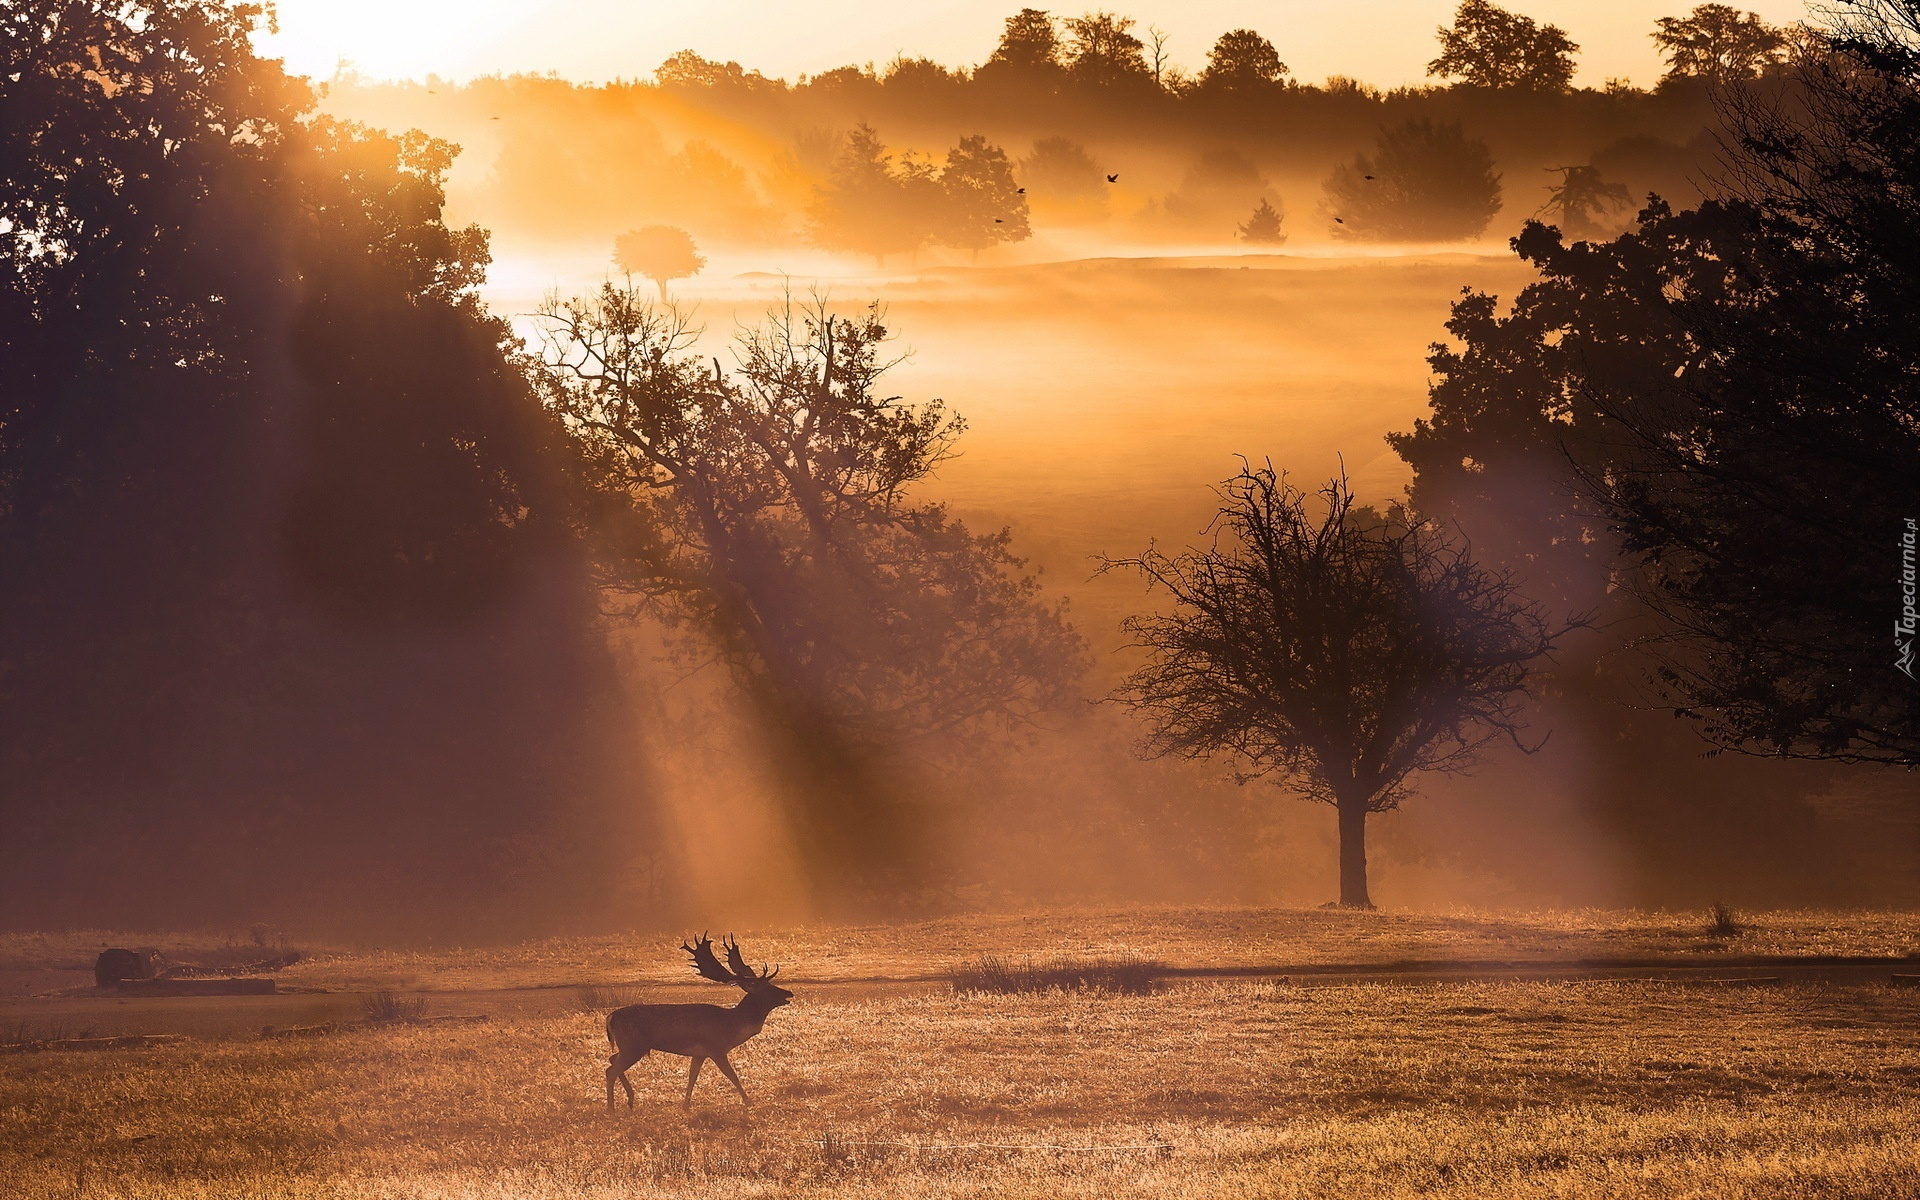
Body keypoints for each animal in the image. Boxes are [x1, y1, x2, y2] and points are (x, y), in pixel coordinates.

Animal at [602, 933, 791, 1105]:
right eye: (765, 988)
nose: (789, 992)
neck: (732, 1025)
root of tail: (610, 1018)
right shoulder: (716, 1048)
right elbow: (732, 1075)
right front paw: (748, 1101)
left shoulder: (699, 1054)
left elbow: (692, 1077)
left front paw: (685, 1106)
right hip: (633, 1045)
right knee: (610, 1070)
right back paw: (612, 1109)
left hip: (630, 1046)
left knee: (611, 1060)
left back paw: (630, 1100)